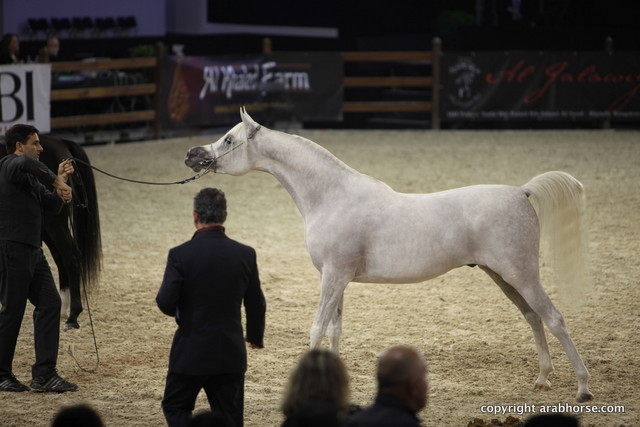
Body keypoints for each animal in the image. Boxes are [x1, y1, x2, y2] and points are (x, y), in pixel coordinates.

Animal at [184, 108, 593, 403]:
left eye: (229, 138)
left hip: (521, 273)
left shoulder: (333, 276)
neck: (332, 196)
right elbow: (334, 330)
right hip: (504, 276)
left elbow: (317, 328)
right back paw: (542, 379)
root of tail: (521, 192)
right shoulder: (337, 279)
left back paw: (583, 388)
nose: (192, 154)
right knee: (532, 316)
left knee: (554, 318)